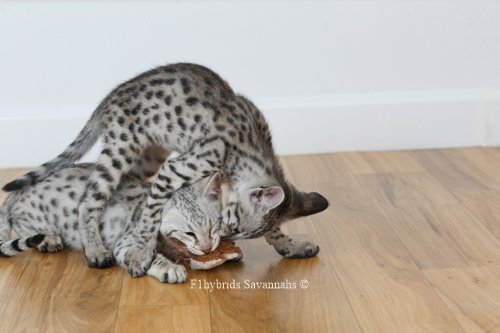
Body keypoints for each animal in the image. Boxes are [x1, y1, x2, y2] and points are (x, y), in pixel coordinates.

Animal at [0, 164, 223, 282]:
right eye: (189, 233)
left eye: (213, 226)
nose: (207, 249)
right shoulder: (125, 244)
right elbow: (147, 257)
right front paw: (169, 267)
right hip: (39, 216)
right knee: (17, 221)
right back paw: (48, 239)